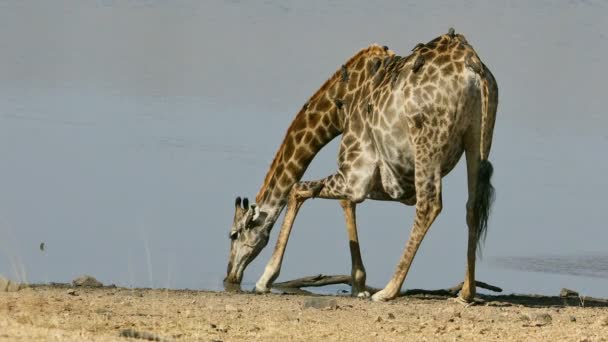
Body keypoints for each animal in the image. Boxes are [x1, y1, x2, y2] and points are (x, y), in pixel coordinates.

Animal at [226, 29, 496, 302]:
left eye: (233, 234)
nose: (230, 276)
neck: (340, 107)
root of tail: (471, 65)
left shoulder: (356, 173)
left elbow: (298, 189)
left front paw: (265, 279)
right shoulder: (374, 177)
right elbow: (345, 203)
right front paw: (358, 284)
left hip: (427, 143)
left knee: (429, 205)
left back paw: (388, 290)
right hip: (478, 137)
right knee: (473, 206)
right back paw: (466, 292)